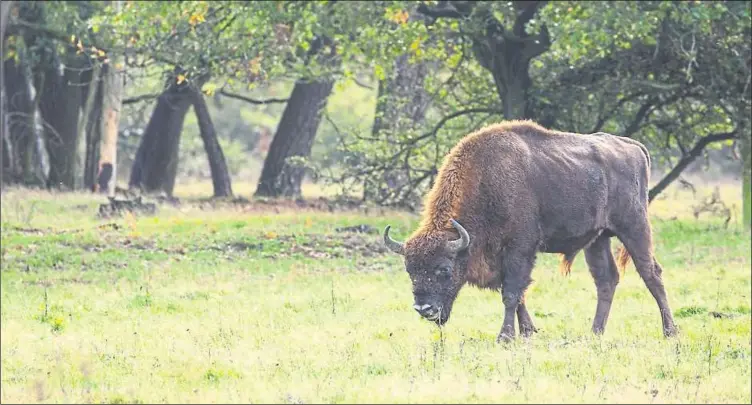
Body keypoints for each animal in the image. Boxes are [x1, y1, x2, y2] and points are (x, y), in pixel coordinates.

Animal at [384, 119, 680, 340]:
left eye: (444, 269)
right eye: (410, 270)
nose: (424, 309)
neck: (487, 182)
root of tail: (633, 146)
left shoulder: (519, 249)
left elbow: (512, 293)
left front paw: (505, 337)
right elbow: (518, 295)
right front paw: (528, 332)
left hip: (634, 227)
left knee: (651, 273)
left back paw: (670, 331)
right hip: (598, 239)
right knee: (606, 279)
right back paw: (595, 332)